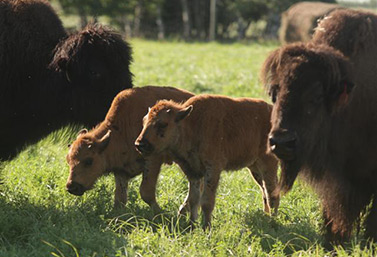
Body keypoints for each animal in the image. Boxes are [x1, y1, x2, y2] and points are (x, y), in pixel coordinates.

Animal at [64, 85, 192, 211]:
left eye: (89, 161)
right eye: (68, 161)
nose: (72, 187)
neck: (122, 129)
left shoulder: (153, 159)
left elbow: (146, 192)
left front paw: (160, 213)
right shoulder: (121, 171)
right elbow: (120, 198)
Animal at [135, 94, 280, 226]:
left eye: (163, 124)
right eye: (144, 121)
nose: (139, 144)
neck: (191, 124)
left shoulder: (213, 169)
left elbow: (206, 202)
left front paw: (206, 228)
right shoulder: (192, 171)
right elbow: (194, 199)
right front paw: (191, 225)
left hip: (268, 164)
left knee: (271, 193)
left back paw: (272, 221)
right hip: (254, 168)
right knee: (265, 191)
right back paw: (266, 217)